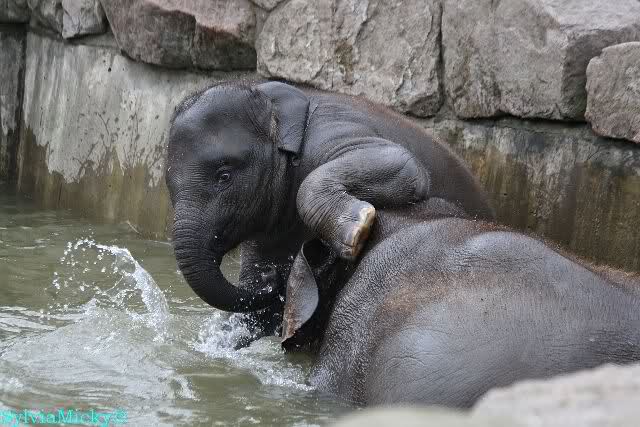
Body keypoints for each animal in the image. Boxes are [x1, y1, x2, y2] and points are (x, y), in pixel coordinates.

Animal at [166, 80, 494, 340]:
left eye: (224, 176)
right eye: (169, 188)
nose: (271, 277)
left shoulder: (329, 132)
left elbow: (401, 162)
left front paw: (357, 231)